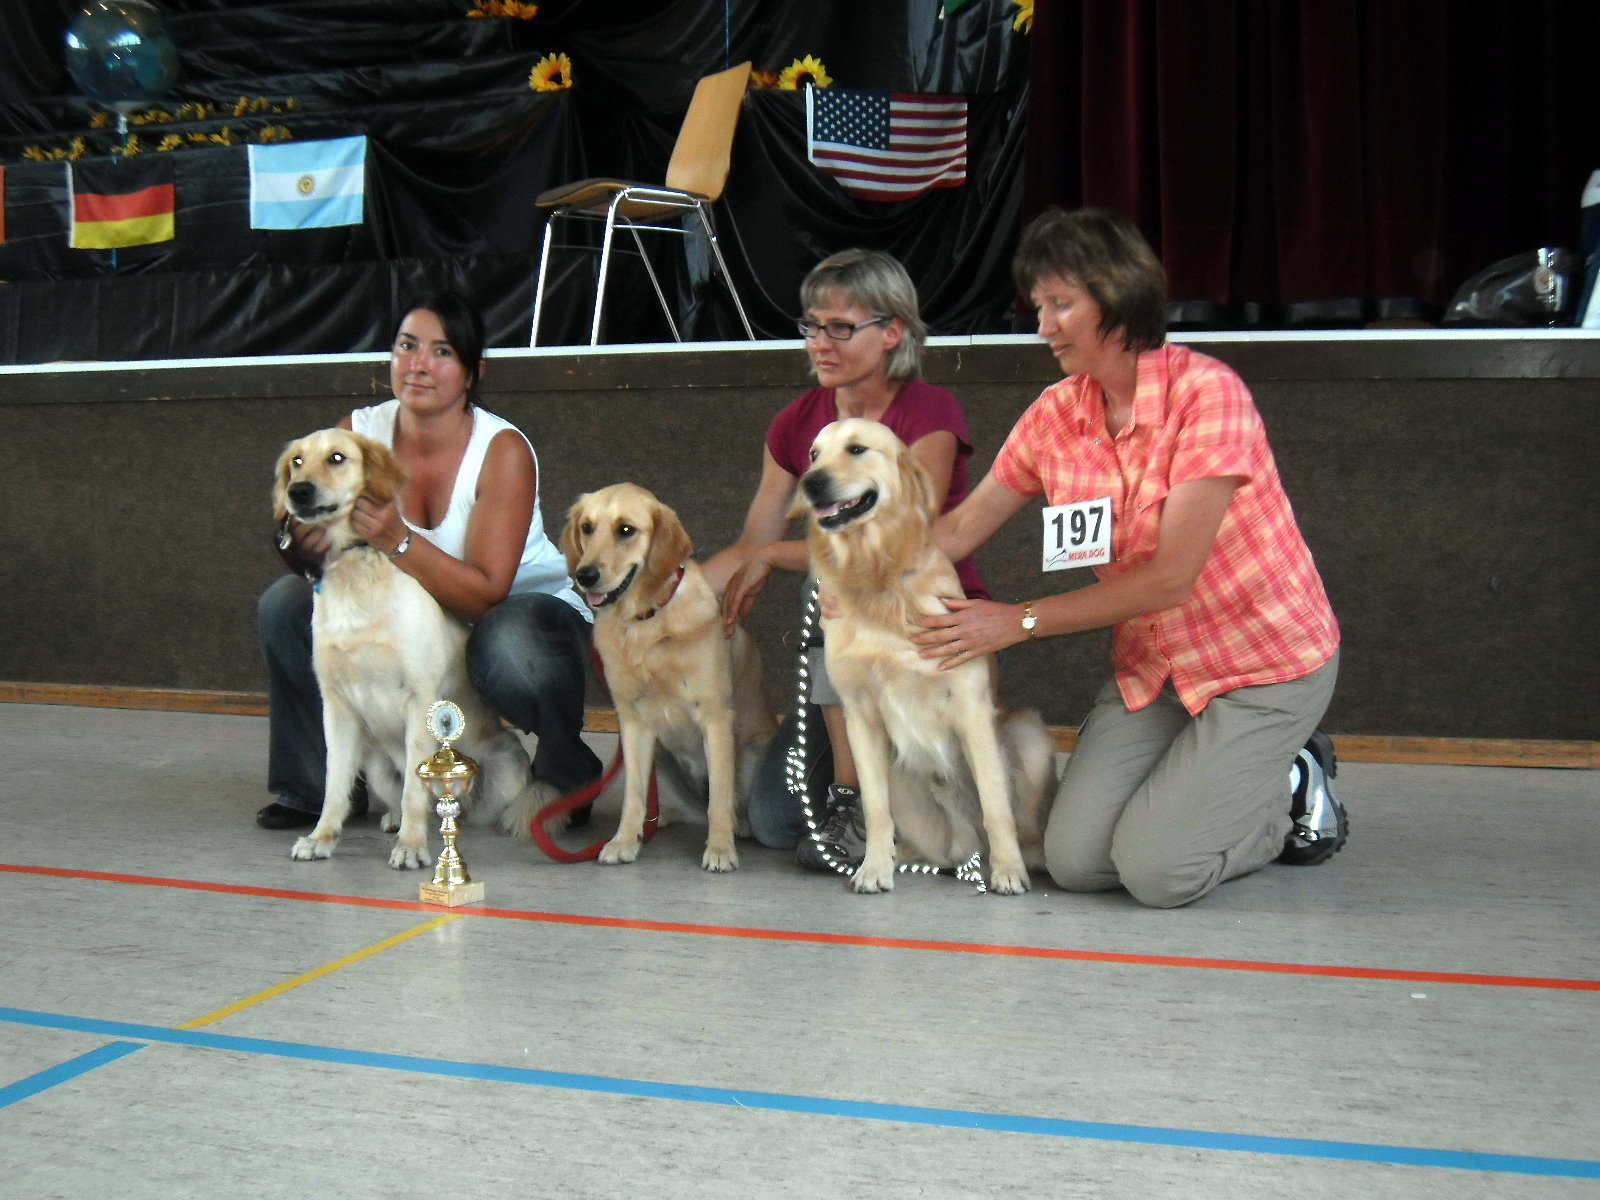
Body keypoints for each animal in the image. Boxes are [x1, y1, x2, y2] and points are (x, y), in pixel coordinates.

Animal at [272, 432, 540, 876]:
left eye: (337, 458)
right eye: (296, 461)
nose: (298, 491)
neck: (355, 572)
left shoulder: (421, 702)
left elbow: (415, 790)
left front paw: (412, 848)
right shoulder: (336, 705)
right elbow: (334, 786)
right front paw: (321, 838)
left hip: (507, 765)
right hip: (378, 764)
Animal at [560, 483, 777, 870]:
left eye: (626, 530)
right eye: (587, 527)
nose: (585, 575)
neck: (645, 621)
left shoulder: (715, 718)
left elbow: (720, 797)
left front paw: (720, 849)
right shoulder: (632, 722)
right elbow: (633, 797)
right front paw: (623, 842)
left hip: (751, 749)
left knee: (726, 805)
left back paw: (738, 827)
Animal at [793, 419, 1056, 896]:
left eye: (856, 449)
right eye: (813, 454)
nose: (811, 483)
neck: (878, 580)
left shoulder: (972, 710)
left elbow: (996, 807)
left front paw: (1009, 871)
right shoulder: (861, 717)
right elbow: (875, 809)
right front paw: (873, 869)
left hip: (1028, 735)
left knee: (1022, 831)